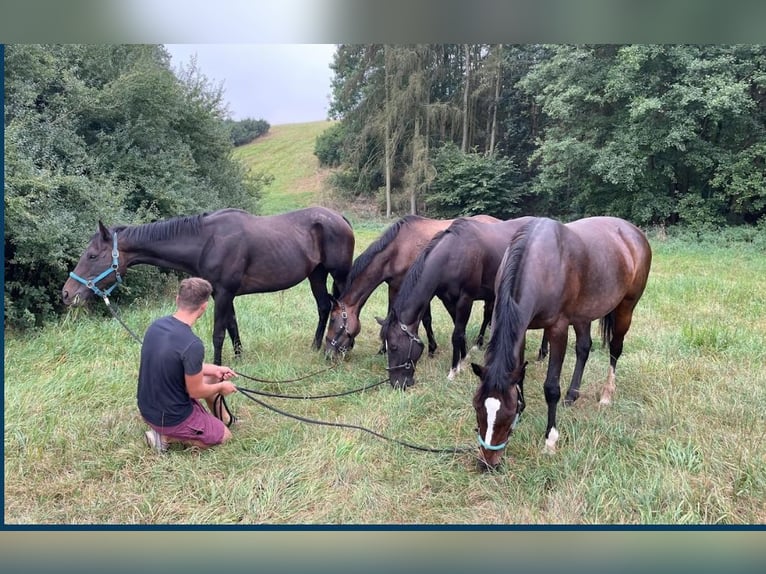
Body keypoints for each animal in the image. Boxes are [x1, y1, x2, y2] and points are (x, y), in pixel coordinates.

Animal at [62, 209, 356, 366]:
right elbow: (233, 326)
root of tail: (339, 218)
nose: (67, 293)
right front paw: (238, 359)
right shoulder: (223, 294)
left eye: (91, 256)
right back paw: (315, 346)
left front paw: (217, 368)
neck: (206, 241)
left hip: (339, 274)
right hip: (316, 274)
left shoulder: (224, 293)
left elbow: (218, 334)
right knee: (324, 307)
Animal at [322, 216, 498, 360]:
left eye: (332, 320)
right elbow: (390, 315)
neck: (399, 249)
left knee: (487, 314)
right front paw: (383, 349)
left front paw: (431, 349)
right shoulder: (394, 287)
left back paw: (479, 343)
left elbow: (426, 320)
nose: (327, 353)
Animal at [376, 217, 536, 392]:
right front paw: (463, 359)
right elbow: (460, 331)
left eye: (394, 347)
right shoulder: (448, 300)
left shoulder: (465, 299)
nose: (396, 383)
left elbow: (456, 334)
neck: (453, 255)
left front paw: (453, 371)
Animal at [474, 216, 656, 472]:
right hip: (583, 315)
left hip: (625, 308)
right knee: (584, 349)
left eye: (507, 414)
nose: (487, 463)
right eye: (477, 407)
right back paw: (572, 395)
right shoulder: (523, 326)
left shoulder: (558, 329)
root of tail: (634, 233)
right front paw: (524, 406)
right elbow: (519, 376)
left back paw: (606, 394)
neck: (541, 261)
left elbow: (551, 388)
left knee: (615, 349)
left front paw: (550, 440)